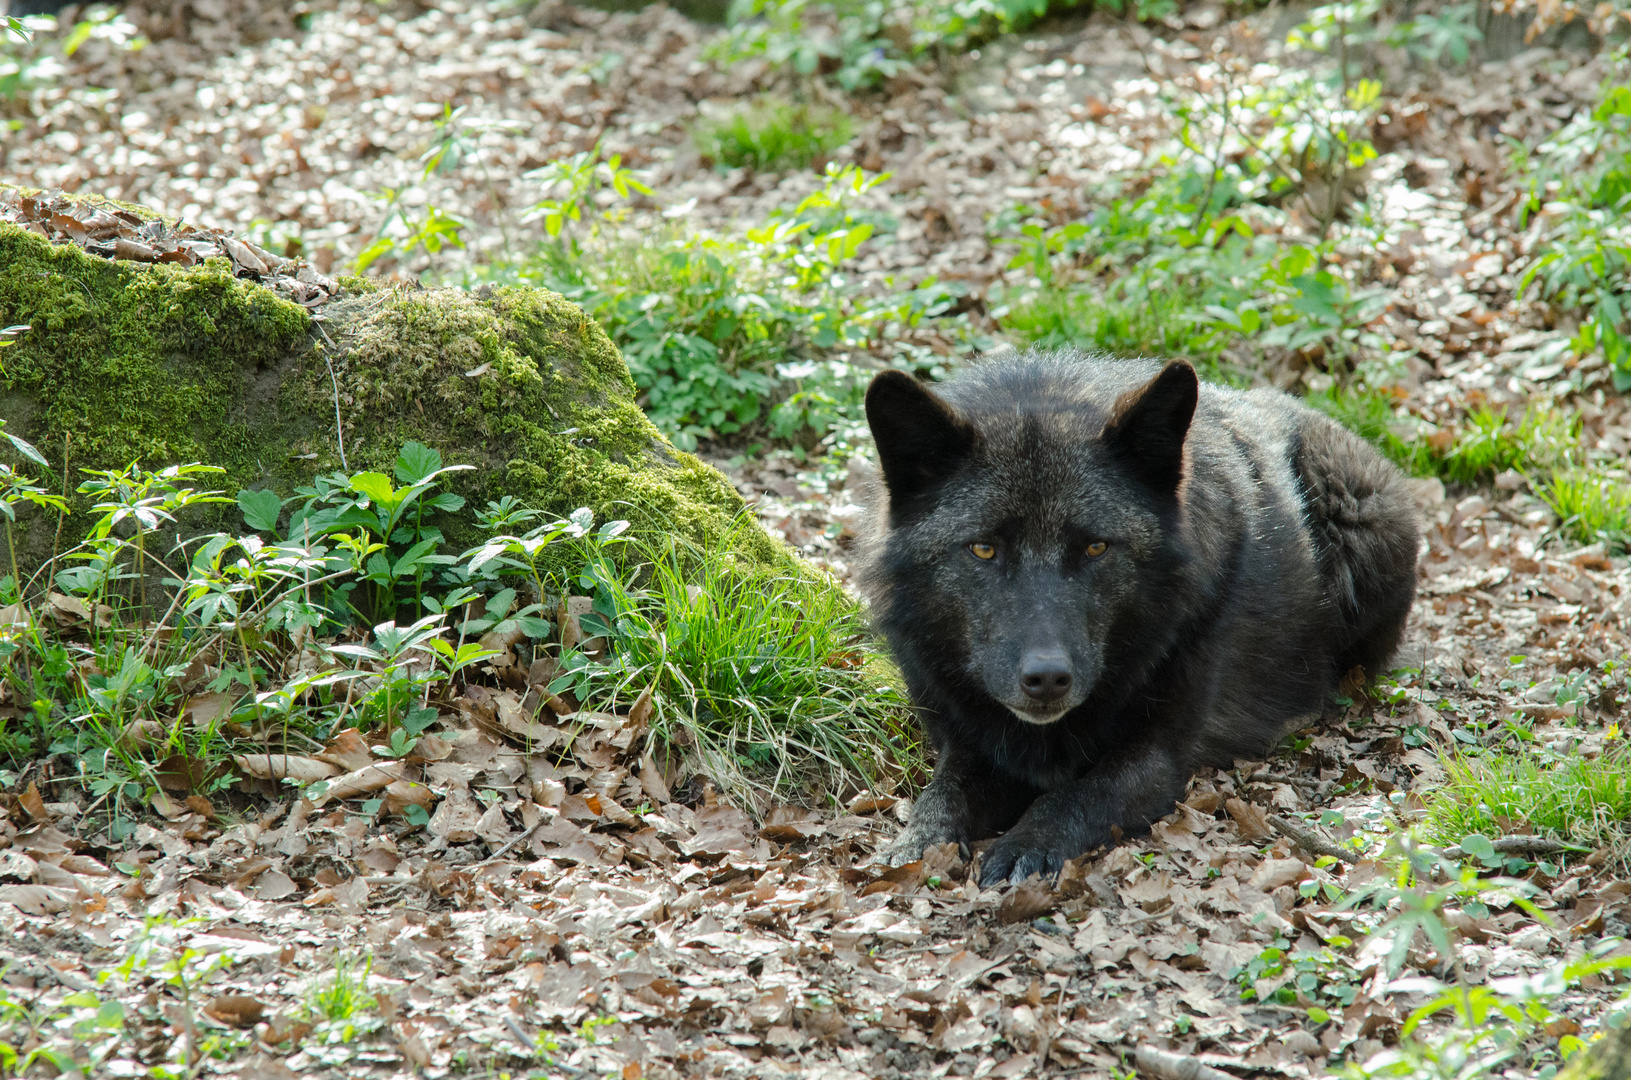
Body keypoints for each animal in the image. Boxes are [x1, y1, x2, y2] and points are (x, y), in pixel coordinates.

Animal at [861, 355, 1422, 887]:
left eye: (1095, 547)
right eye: (983, 549)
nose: (1047, 678)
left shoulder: (1157, 757)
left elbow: (1076, 795)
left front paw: (1025, 845)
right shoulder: (964, 740)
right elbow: (942, 791)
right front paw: (915, 844)